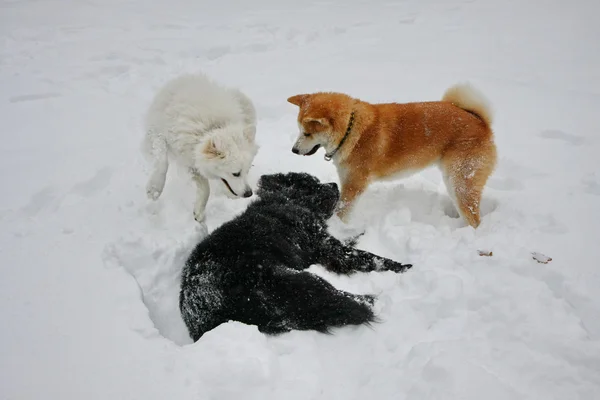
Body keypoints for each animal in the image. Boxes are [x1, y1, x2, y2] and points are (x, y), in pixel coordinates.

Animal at [145, 72, 260, 222]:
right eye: (236, 173)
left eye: (247, 170)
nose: (249, 193)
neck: (208, 129)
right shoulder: (158, 134)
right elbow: (162, 162)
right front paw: (155, 188)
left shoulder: (193, 161)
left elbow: (206, 188)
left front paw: (199, 211)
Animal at [179, 172, 412, 340]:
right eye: (313, 184)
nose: (334, 184)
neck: (289, 201)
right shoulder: (326, 246)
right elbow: (367, 257)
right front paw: (404, 267)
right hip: (297, 280)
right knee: (344, 299)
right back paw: (371, 299)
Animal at [286, 83, 496, 228]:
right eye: (300, 130)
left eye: (307, 133)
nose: (294, 150)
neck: (351, 131)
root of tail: (481, 123)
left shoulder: (353, 185)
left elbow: (341, 211)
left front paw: (334, 230)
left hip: (460, 181)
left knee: (474, 220)